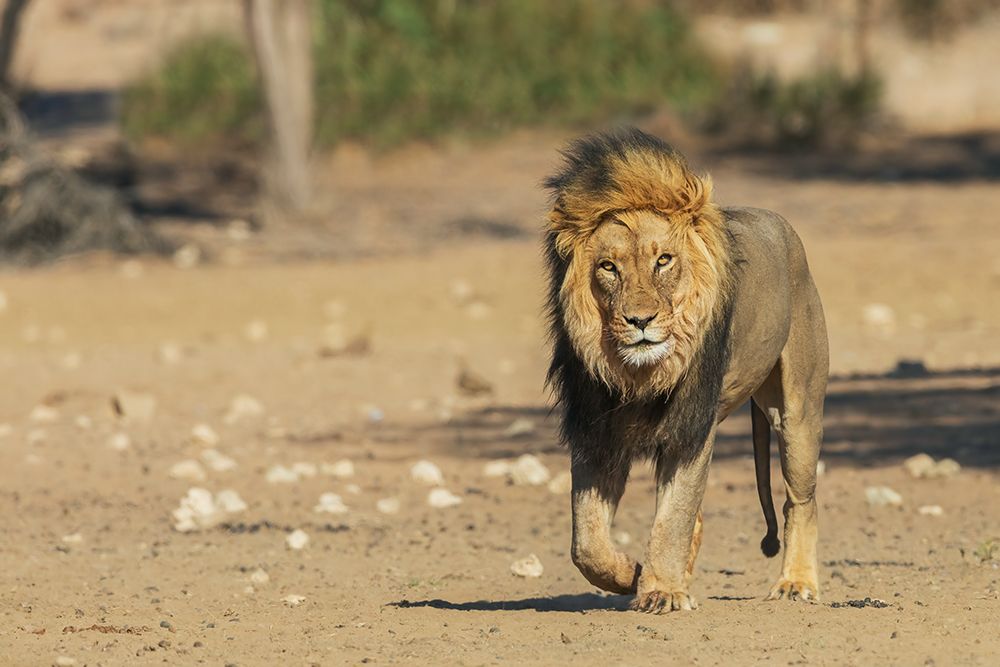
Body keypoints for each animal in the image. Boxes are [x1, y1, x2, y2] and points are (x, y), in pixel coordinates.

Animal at [544, 128, 828, 612]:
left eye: (663, 260)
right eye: (608, 267)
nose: (639, 320)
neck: (639, 375)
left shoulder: (691, 427)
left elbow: (673, 516)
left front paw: (660, 589)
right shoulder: (594, 430)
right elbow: (587, 543)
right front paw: (634, 575)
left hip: (798, 410)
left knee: (799, 500)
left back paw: (796, 583)